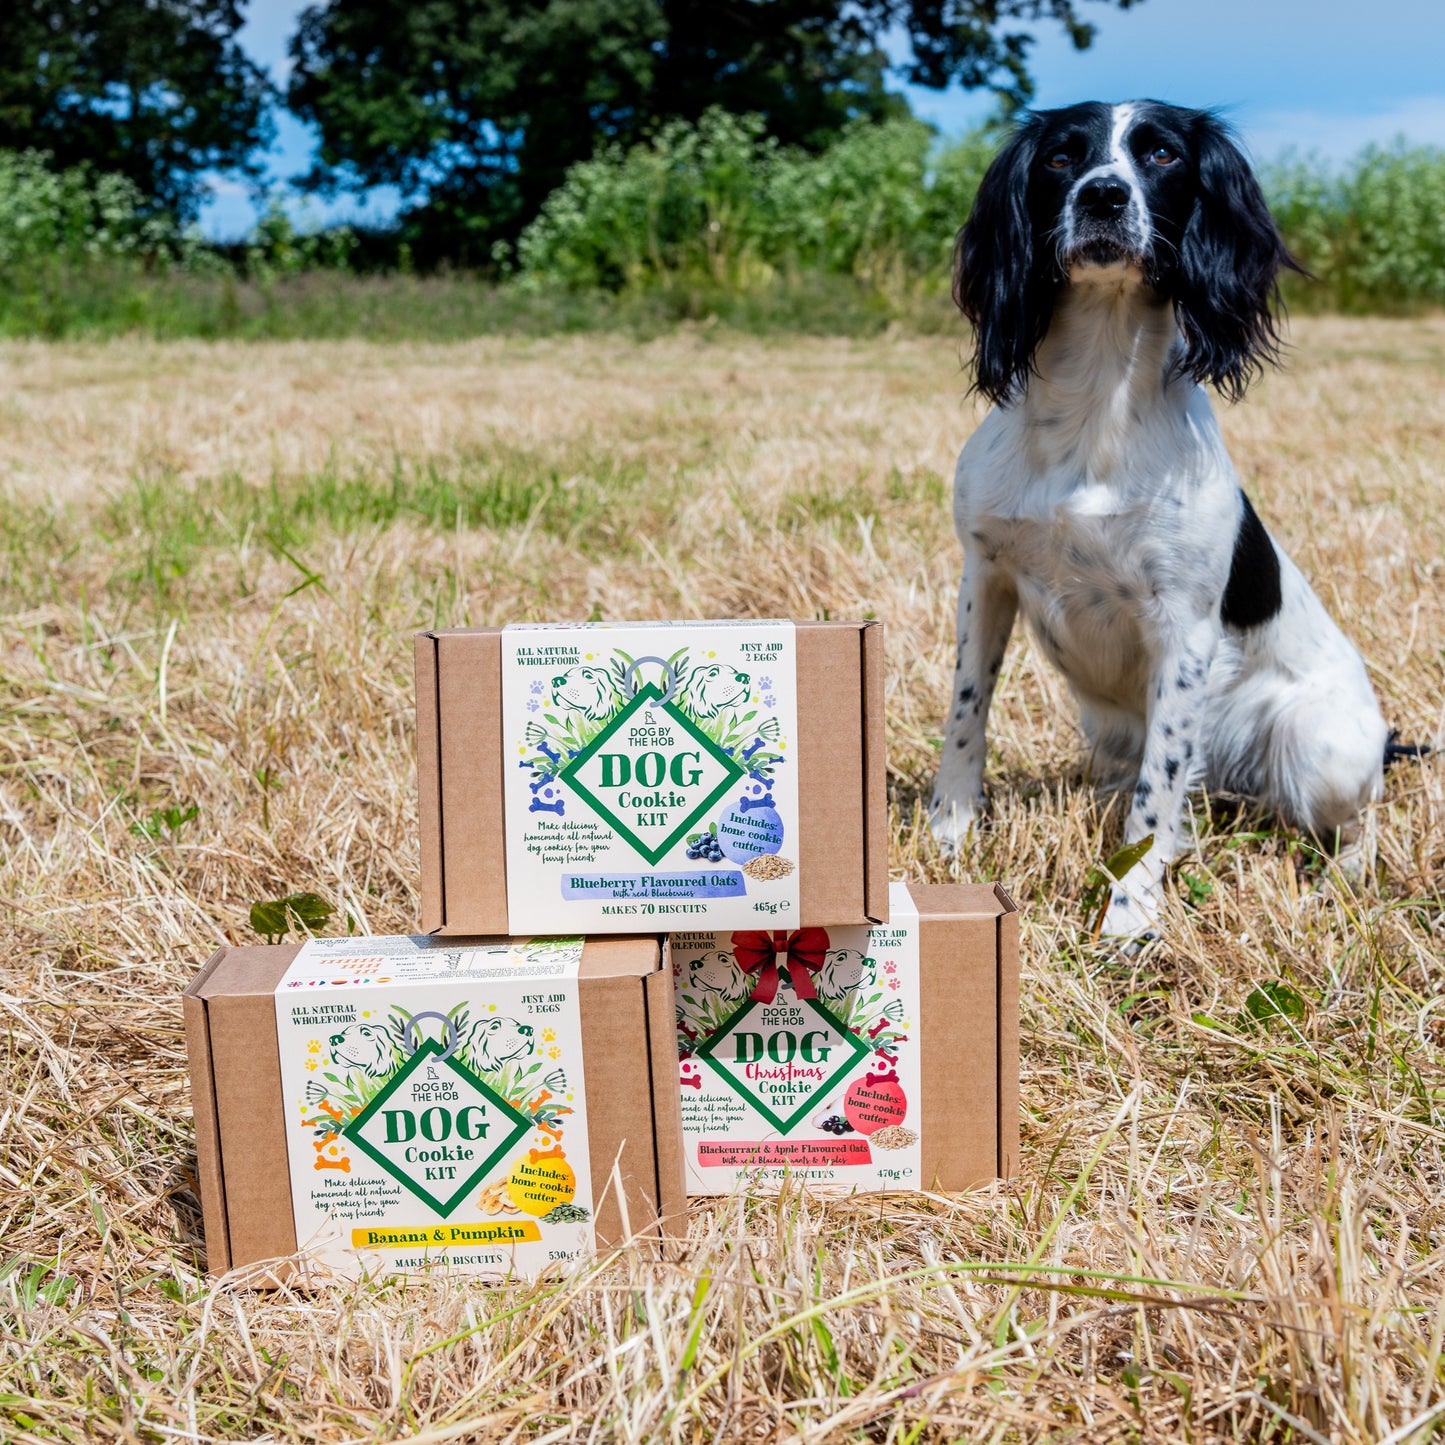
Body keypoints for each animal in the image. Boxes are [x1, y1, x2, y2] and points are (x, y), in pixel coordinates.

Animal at [930, 98, 1392, 936]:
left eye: (1162, 155)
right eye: (1060, 157)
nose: (1102, 196)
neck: (1096, 400)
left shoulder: (1183, 628)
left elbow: (1157, 792)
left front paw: (1128, 913)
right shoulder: (984, 576)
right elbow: (965, 711)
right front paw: (948, 835)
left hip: (1321, 748)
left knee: (1356, 822)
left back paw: (1337, 882)